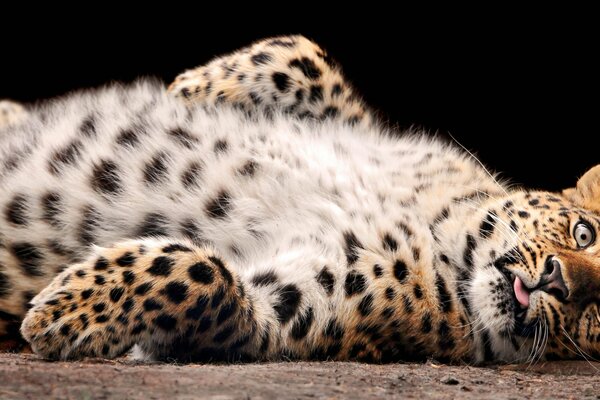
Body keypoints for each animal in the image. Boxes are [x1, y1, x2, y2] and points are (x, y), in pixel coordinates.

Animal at [0, 36, 596, 364]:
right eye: (584, 233)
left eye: (596, 316)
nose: (560, 282)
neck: (438, 229)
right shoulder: (365, 131)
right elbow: (305, 55)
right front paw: (190, 90)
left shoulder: (290, 315)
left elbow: (208, 279)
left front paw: (65, 312)